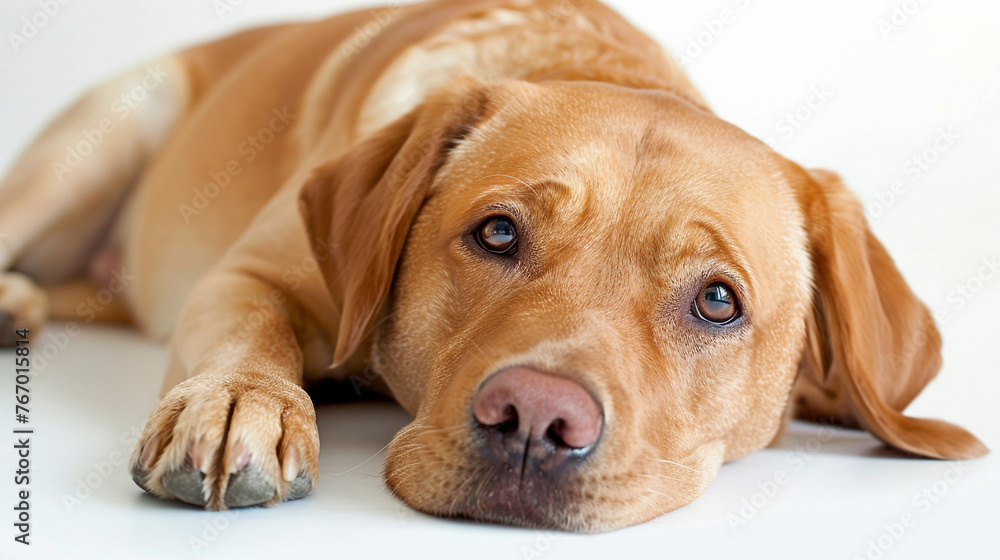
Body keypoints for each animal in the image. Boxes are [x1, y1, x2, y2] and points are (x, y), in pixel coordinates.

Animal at [0, 0, 984, 532]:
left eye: (716, 300)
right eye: (499, 234)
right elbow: (255, 330)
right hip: (104, 135)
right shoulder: (245, 277)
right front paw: (244, 402)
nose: (535, 421)